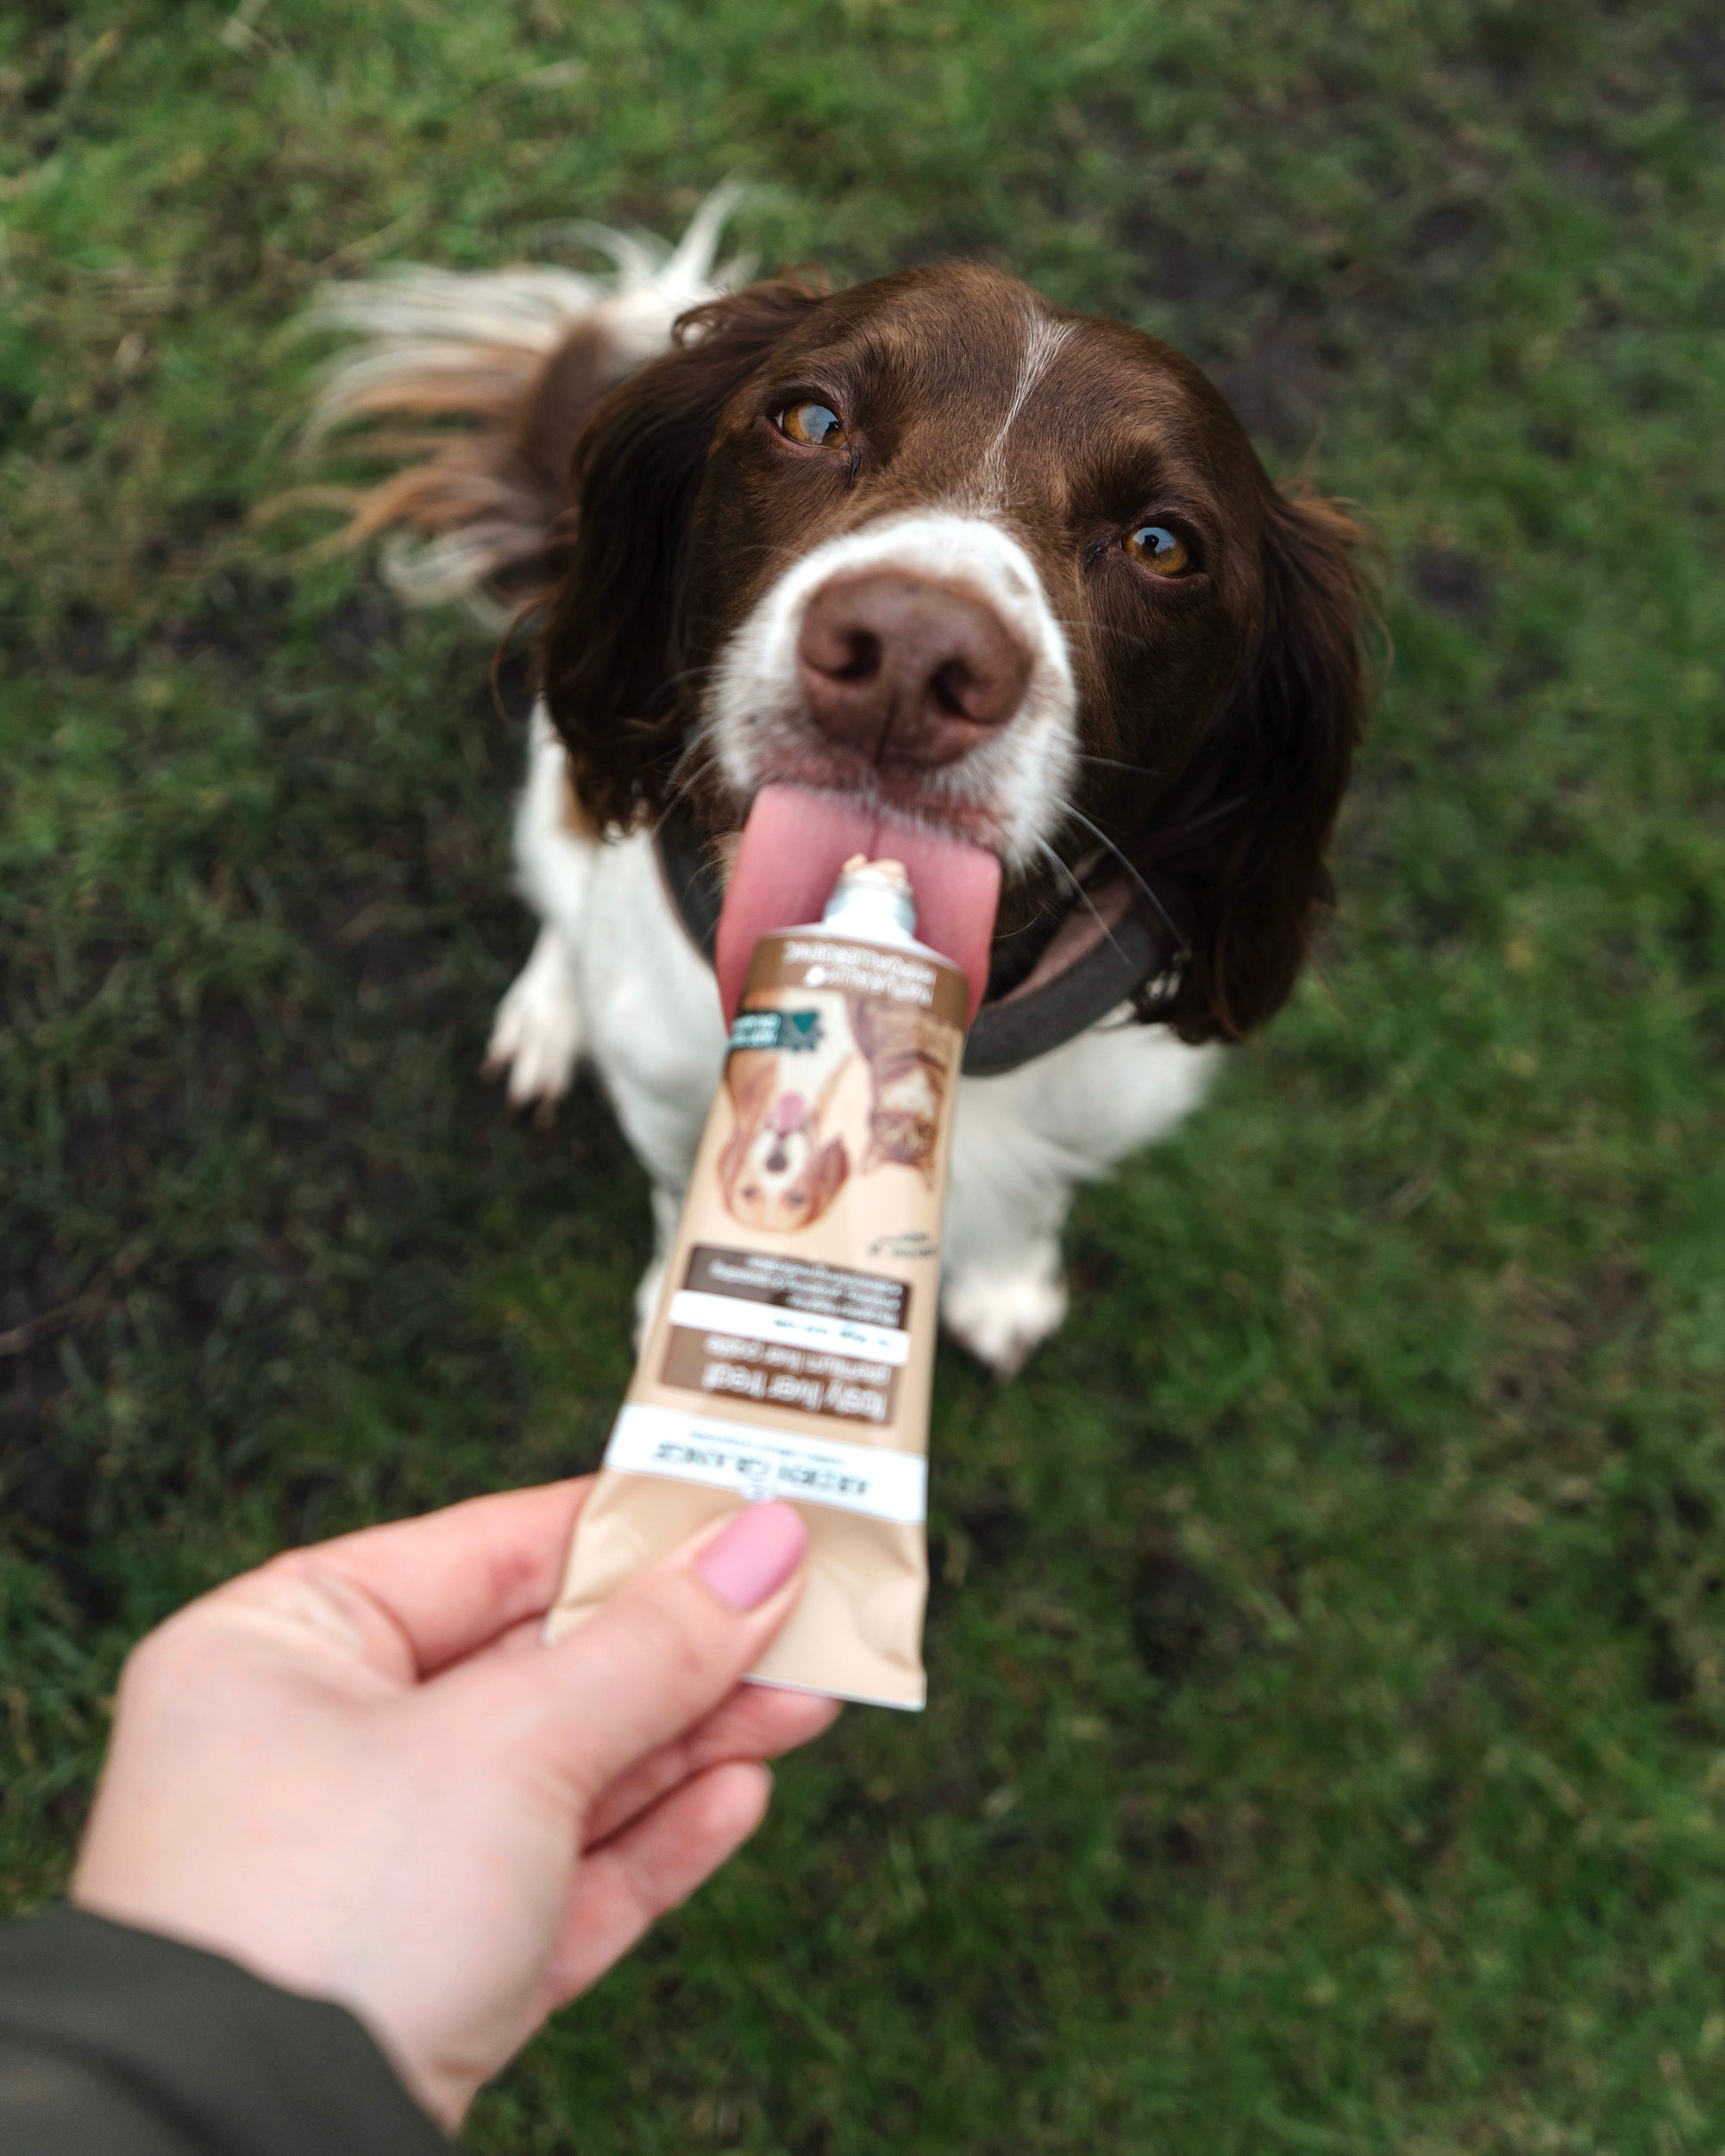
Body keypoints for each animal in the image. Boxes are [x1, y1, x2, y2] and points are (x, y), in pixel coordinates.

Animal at [306, 205, 1363, 1380]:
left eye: (1160, 544)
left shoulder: (1104, 1101)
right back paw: (548, 1012)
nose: (908, 657)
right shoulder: (672, 1088)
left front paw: (1003, 1285)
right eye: (810, 419)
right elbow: (682, 1181)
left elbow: (1032, 1195)